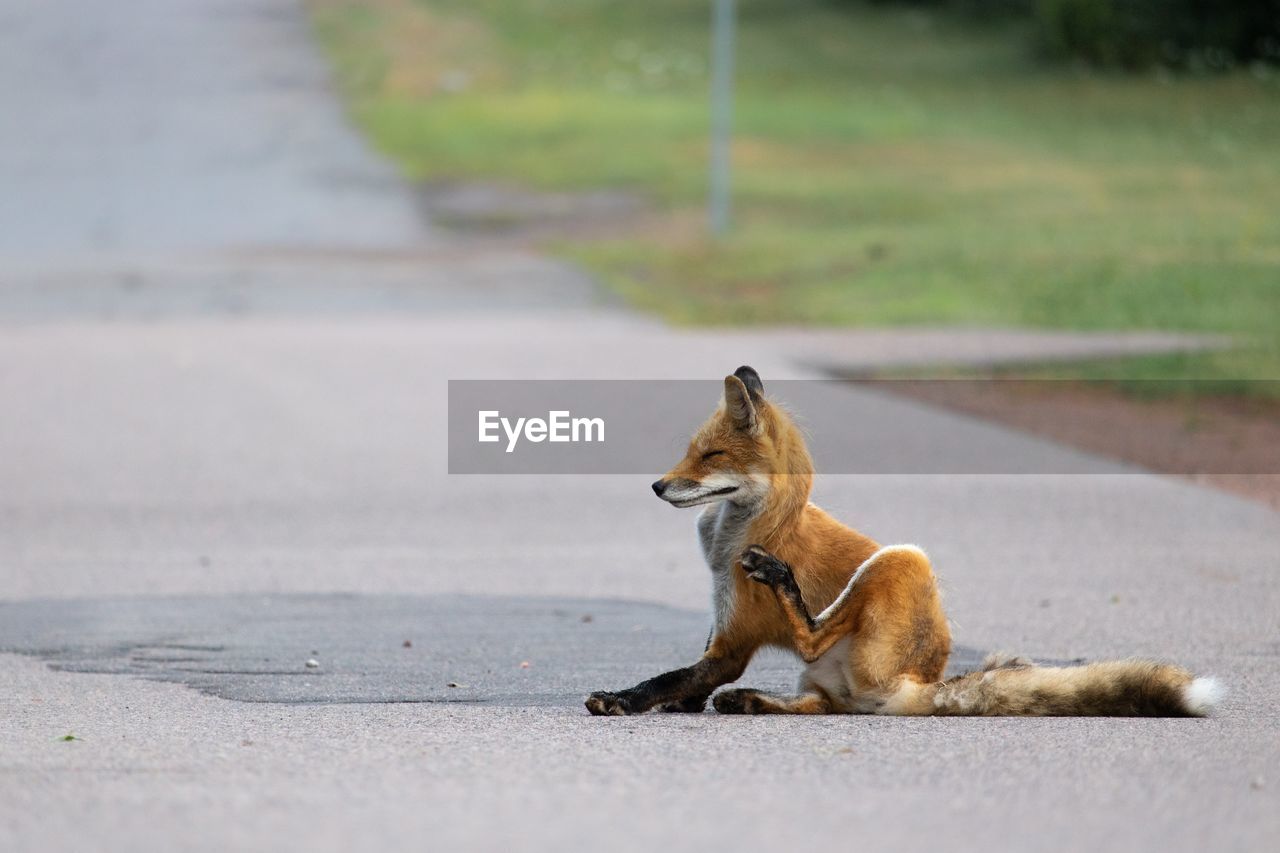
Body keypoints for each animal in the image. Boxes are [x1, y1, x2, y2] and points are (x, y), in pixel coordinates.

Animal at [586, 366, 1223, 717]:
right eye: (690, 452)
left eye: (711, 456)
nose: (657, 485)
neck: (733, 540)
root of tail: (924, 681)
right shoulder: (718, 628)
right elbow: (687, 676)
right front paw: (681, 702)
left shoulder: (734, 642)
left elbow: (671, 677)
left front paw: (623, 700)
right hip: (830, 677)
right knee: (820, 705)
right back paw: (752, 702)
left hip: (902, 558)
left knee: (813, 637)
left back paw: (781, 586)